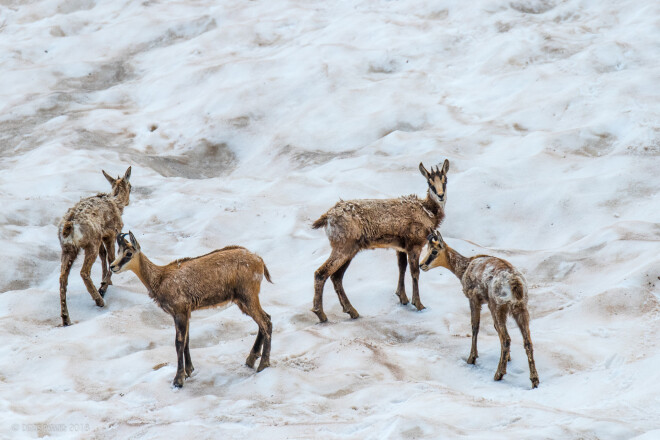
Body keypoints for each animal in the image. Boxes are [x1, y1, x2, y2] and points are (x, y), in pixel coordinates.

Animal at [58, 167, 132, 324]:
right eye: (131, 186)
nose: (128, 201)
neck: (116, 202)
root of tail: (69, 225)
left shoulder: (103, 236)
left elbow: (103, 255)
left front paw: (106, 282)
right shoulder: (111, 233)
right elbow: (111, 258)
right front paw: (104, 285)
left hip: (68, 248)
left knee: (62, 277)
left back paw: (66, 319)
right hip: (91, 242)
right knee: (84, 272)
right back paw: (99, 300)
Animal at [111, 232, 274, 386]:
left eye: (128, 253)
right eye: (118, 251)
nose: (112, 266)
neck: (160, 278)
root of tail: (259, 260)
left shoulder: (180, 311)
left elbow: (179, 342)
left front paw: (178, 380)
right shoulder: (186, 312)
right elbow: (187, 340)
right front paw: (189, 371)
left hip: (248, 296)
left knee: (265, 322)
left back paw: (263, 365)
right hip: (242, 300)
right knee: (265, 319)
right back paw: (251, 359)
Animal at [314, 160, 448, 322]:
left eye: (445, 180)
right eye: (430, 182)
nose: (441, 196)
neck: (428, 212)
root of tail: (327, 217)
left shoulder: (400, 247)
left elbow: (401, 267)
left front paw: (403, 297)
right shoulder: (414, 245)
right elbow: (415, 272)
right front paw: (419, 304)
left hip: (349, 250)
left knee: (336, 277)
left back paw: (352, 311)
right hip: (343, 247)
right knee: (321, 273)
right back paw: (321, 314)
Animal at [420, 230, 540, 388]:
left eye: (434, 251)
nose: (421, 265)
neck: (465, 267)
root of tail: (515, 283)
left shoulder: (474, 300)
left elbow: (475, 326)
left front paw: (471, 358)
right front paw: (508, 358)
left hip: (498, 307)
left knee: (506, 338)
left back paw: (498, 374)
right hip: (520, 309)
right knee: (527, 341)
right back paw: (534, 380)